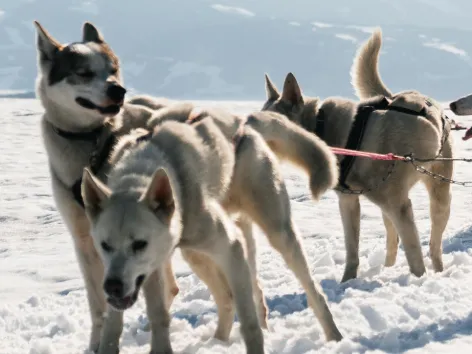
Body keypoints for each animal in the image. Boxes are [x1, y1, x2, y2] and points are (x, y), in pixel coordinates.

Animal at [34, 22, 342, 354]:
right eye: (105, 245)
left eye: (139, 243)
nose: (113, 286)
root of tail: (244, 121)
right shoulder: (137, 265)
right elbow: (147, 316)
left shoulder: (228, 249)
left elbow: (247, 321)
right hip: (194, 253)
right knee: (226, 298)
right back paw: (217, 341)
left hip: (276, 233)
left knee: (303, 291)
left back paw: (334, 336)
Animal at [262, 28, 454, 282]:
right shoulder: (348, 202)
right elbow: (352, 249)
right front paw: (347, 281)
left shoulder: (399, 205)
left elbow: (415, 254)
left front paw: (418, 281)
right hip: (390, 206)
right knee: (393, 240)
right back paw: (387, 268)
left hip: (438, 196)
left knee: (434, 244)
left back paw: (438, 270)